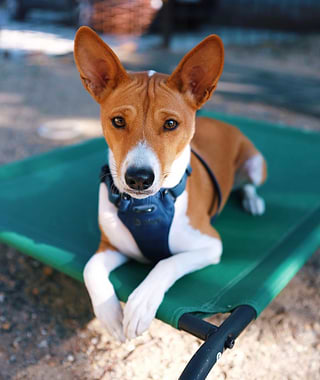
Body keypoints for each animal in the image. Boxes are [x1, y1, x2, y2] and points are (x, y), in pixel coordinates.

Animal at [74, 26, 266, 342]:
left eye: (171, 124)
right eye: (118, 121)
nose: (139, 178)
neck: (147, 206)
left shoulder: (210, 244)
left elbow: (167, 262)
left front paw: (140, 303)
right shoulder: (111, 245)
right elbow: (91, 269)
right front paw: (110, 315)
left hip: (255, 164)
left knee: (249, 185)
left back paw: (253, 201)